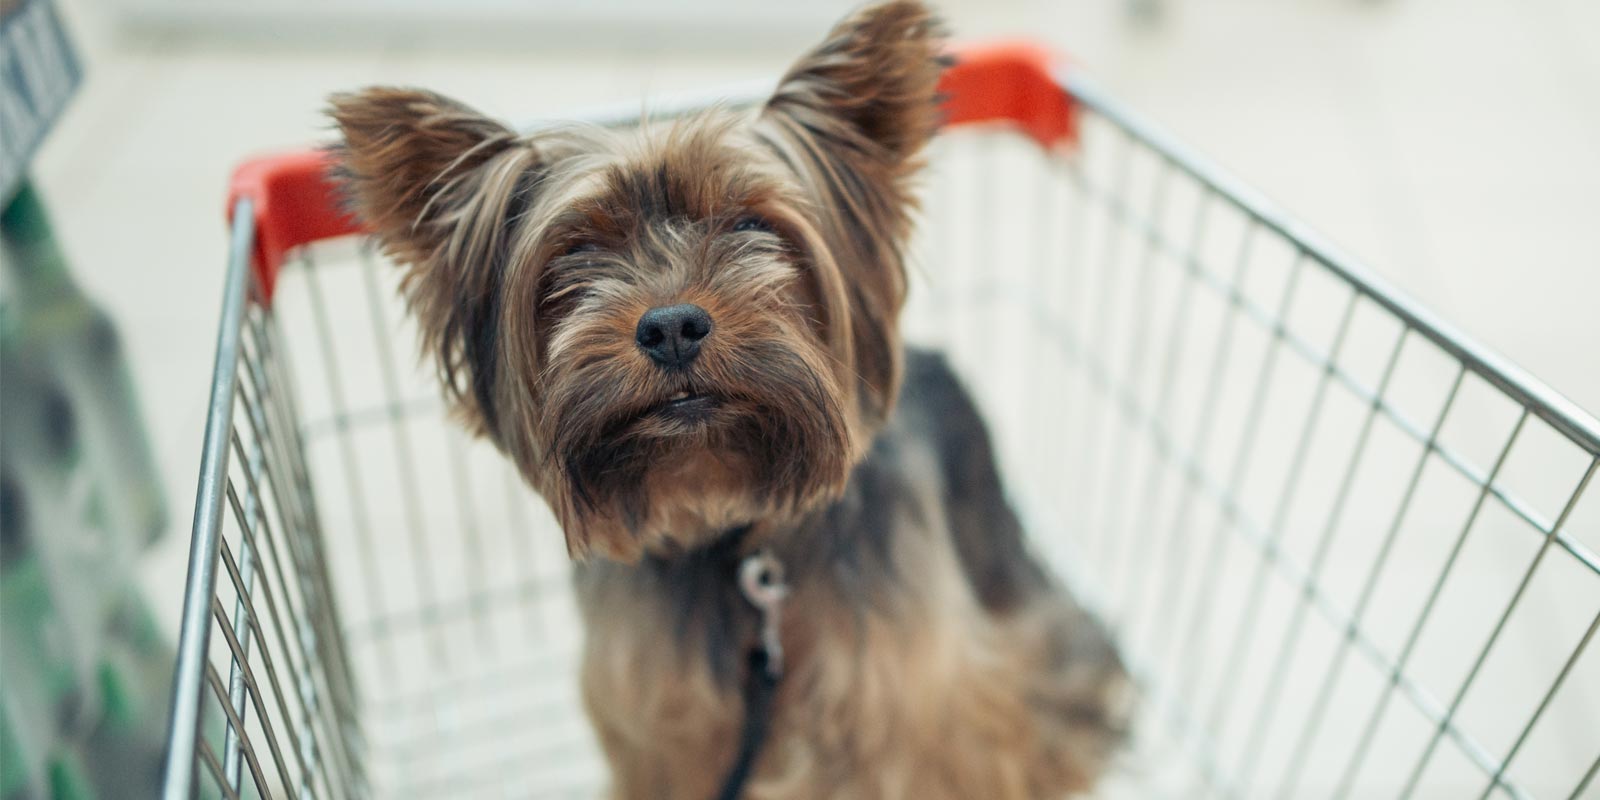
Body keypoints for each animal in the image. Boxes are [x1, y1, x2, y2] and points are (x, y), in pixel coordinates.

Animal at [328, 3, 1126, 796]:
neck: (732, 528)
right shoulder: (665, 731)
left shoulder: (914, 707)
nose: (671, 326)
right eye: (574, 253)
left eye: (749, 223)